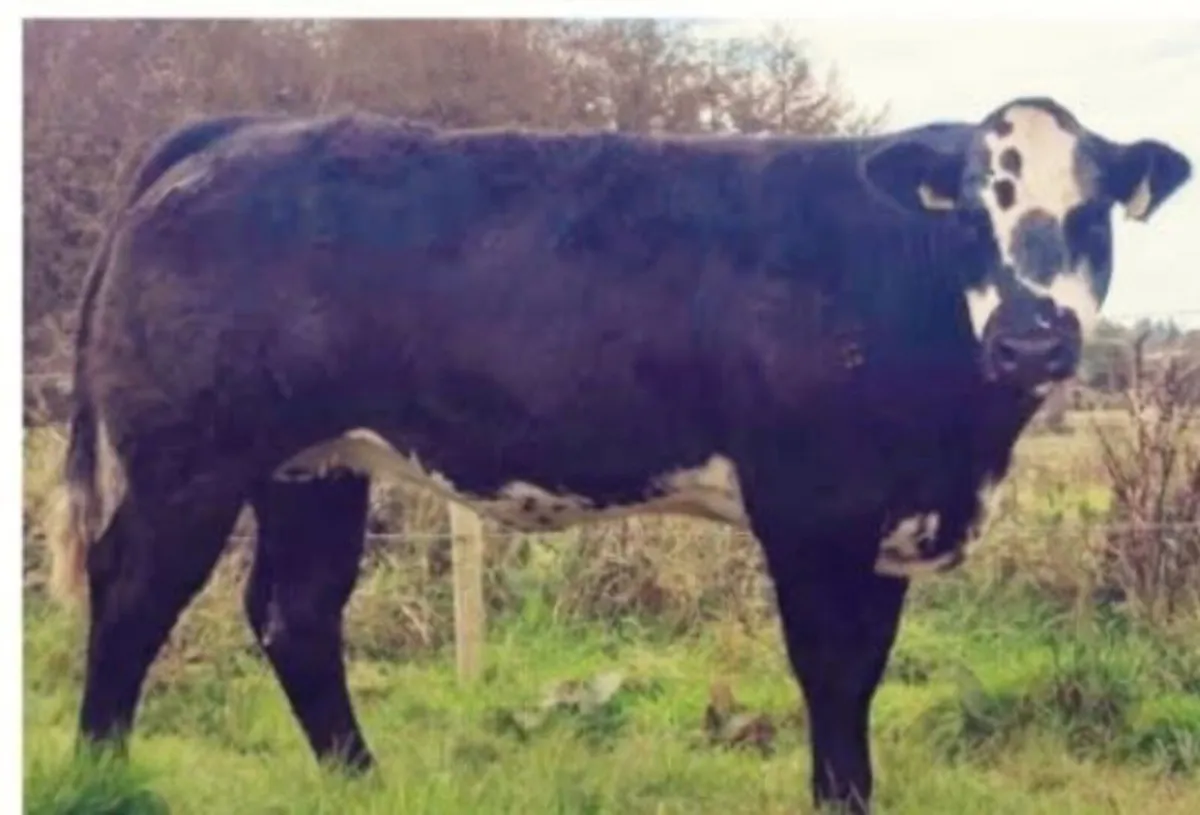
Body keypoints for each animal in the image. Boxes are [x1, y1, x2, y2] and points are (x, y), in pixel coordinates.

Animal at [47, 97, 1190, 813]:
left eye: (1091, 211)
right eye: (973, 210)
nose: (1034, 339)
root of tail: (243, 129)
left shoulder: (884, 517)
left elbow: (863, 672)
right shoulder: (813, 507)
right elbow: (832, 673)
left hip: (315, 463)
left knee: (295, 611)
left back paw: (363, 780)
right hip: (189, 458)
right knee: (132, 592)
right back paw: (100, 769)